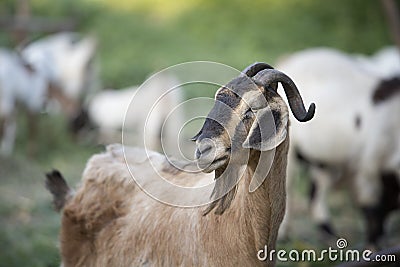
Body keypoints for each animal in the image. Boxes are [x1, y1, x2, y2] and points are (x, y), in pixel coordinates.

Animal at [276, 47, 400, 247]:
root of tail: (289, 60)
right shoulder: (369, 167)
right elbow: (373, 207)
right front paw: (373, 244)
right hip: (294, 151)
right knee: (290, 186)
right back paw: (284, 235)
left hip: (325, 159)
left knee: (315, 193)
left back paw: (328, 233)